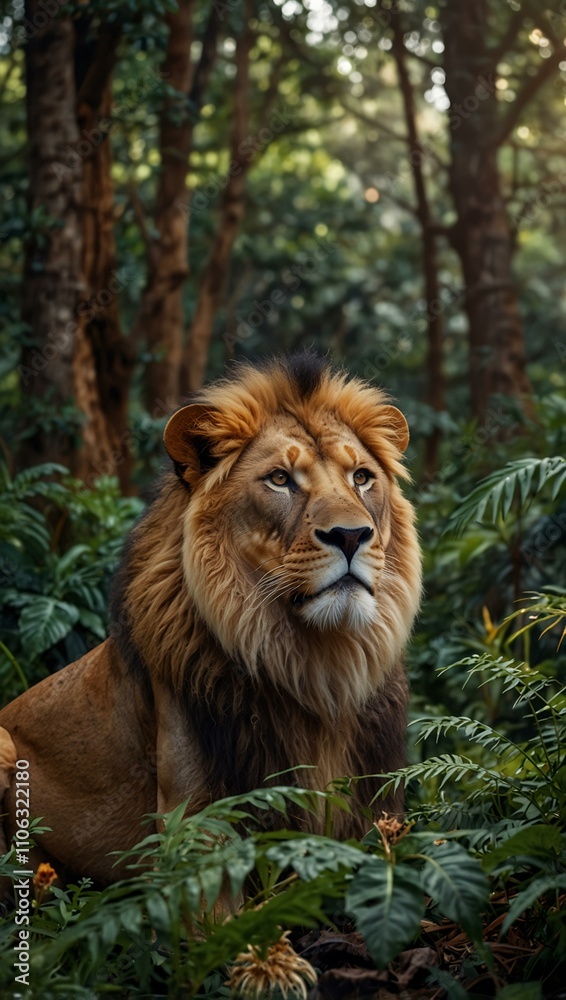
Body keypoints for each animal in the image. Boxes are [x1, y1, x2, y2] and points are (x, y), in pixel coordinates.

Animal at [0, 353, 421, 885]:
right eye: (280, 479)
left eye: (362, 477)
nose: (351, 535)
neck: (317, 665)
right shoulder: (197, 818)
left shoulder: (377, 808)